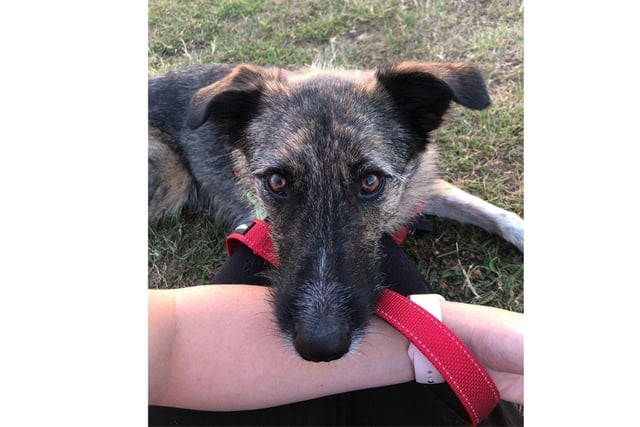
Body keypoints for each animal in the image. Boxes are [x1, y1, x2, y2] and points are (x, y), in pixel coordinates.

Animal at [150, 61, 524, 362]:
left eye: (370, 182)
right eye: (276, 181)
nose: (320, 347)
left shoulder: (417, 186)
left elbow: (494, 213)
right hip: (167, 180)